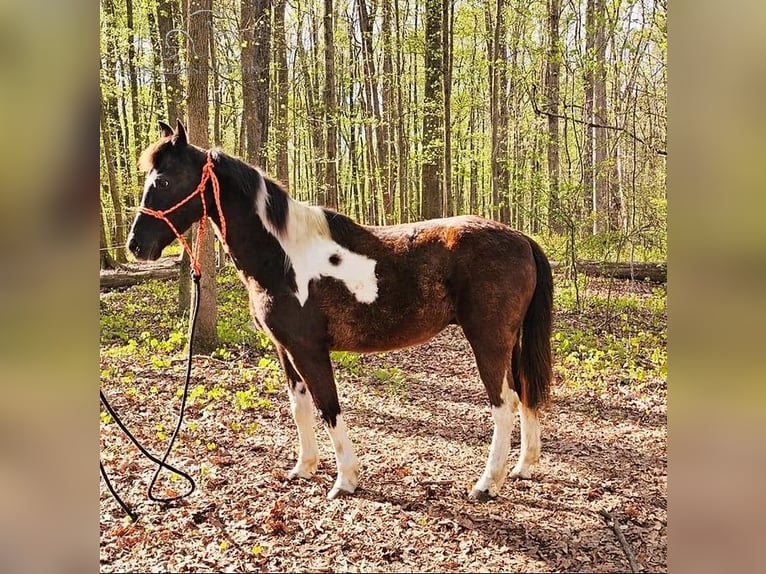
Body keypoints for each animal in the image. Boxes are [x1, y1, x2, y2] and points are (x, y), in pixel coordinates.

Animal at [129, 119, 556, 502]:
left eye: (163, 181)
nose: (136, 245)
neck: (283, 257)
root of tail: (521, 238)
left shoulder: (310, 351)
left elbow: (328, 408)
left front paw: (345, 480)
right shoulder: (285, 350)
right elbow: (300, 407)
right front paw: (303, 468)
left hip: (488, 342)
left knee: (504, 404)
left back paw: (487, 484)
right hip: (509, 343)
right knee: (524, 393)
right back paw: (522, 467)